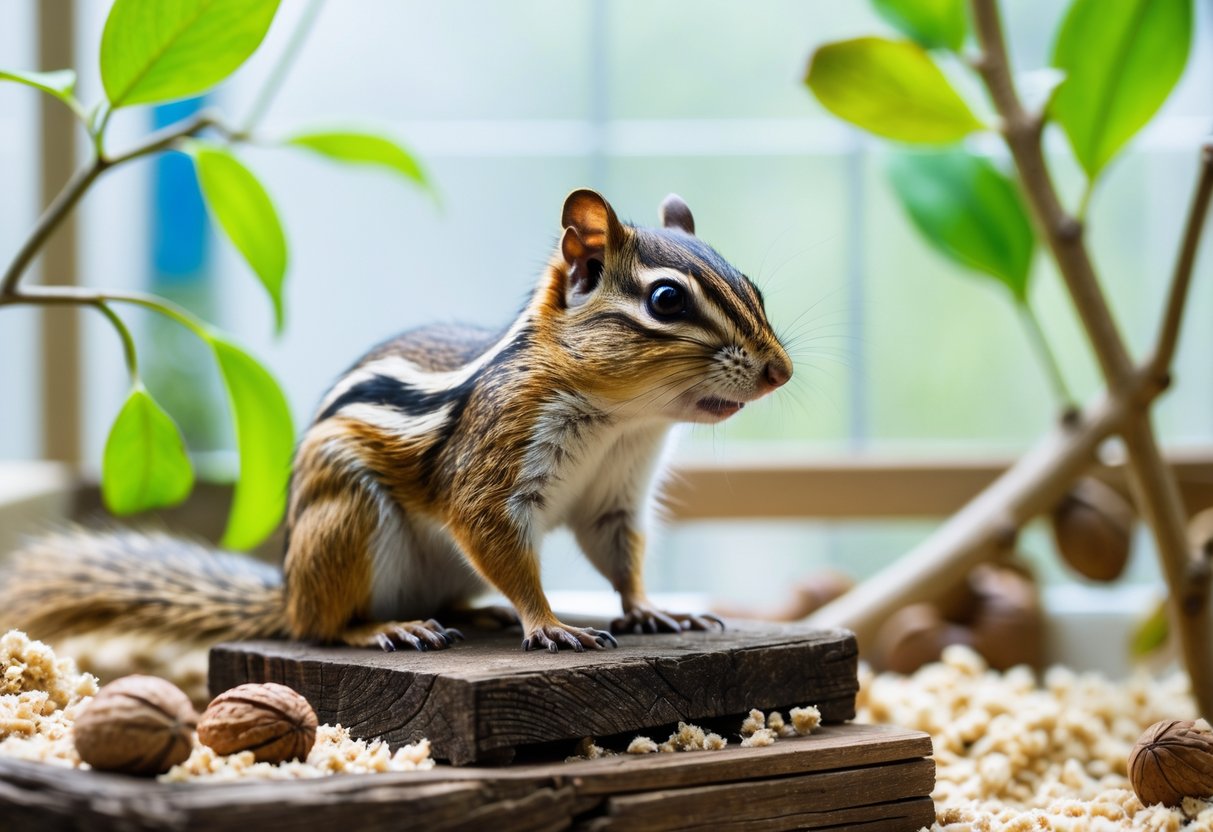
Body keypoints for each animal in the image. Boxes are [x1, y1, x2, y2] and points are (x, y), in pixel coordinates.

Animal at [1, 189, 792, 654]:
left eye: (753, 287)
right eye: (666, 301)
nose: (779, 372)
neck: (621, 419)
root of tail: (286, 591)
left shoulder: (615, 496)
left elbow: (621, 559)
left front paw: (655, 612)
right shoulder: (493, 470)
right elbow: (502, 544)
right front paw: (549, 623)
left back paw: (474, 615)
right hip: (348, 519)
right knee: (323, 627)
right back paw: (391, 625)